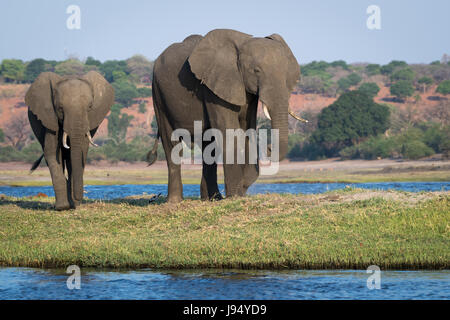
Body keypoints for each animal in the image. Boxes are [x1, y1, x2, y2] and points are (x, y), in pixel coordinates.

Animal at [25, 71, 114, 210]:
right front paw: (62, 207)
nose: (79, 199)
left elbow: (80, 153)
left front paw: (73, 205)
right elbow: (52, 153)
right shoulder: (50, 119)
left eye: (89, 107)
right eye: (60, 108)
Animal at [148, 28, 306, 201]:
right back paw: (175, 201)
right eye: (256, 71)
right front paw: (235, 196)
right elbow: (230, 133)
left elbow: (248, 130)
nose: (269, 148)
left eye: (287, 75)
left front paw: (239, 192)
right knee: (171, 142)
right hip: (158, 93)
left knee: (208, 145)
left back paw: (212, 198)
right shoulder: (214, 89)